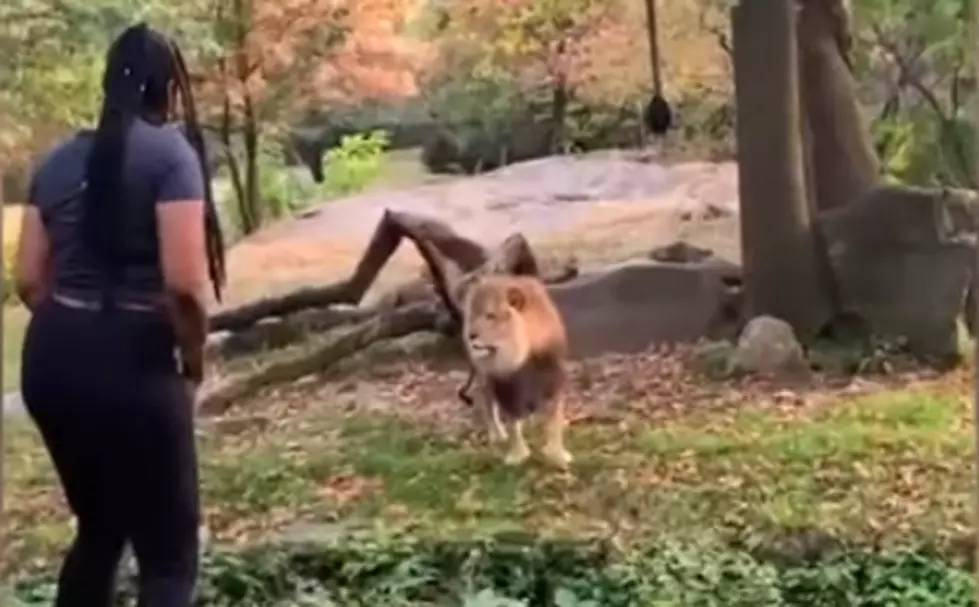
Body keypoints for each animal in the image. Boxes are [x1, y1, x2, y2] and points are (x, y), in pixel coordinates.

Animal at [462, 276, 576, 470]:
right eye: (472, 316)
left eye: (490, 316)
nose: (471, 335)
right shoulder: (505, 388)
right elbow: (512, 424)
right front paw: (517, 455)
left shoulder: (553, 380)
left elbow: (554, 421)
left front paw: (557, 454)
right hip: (485, 380)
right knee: (489, 407)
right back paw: (497, 435)